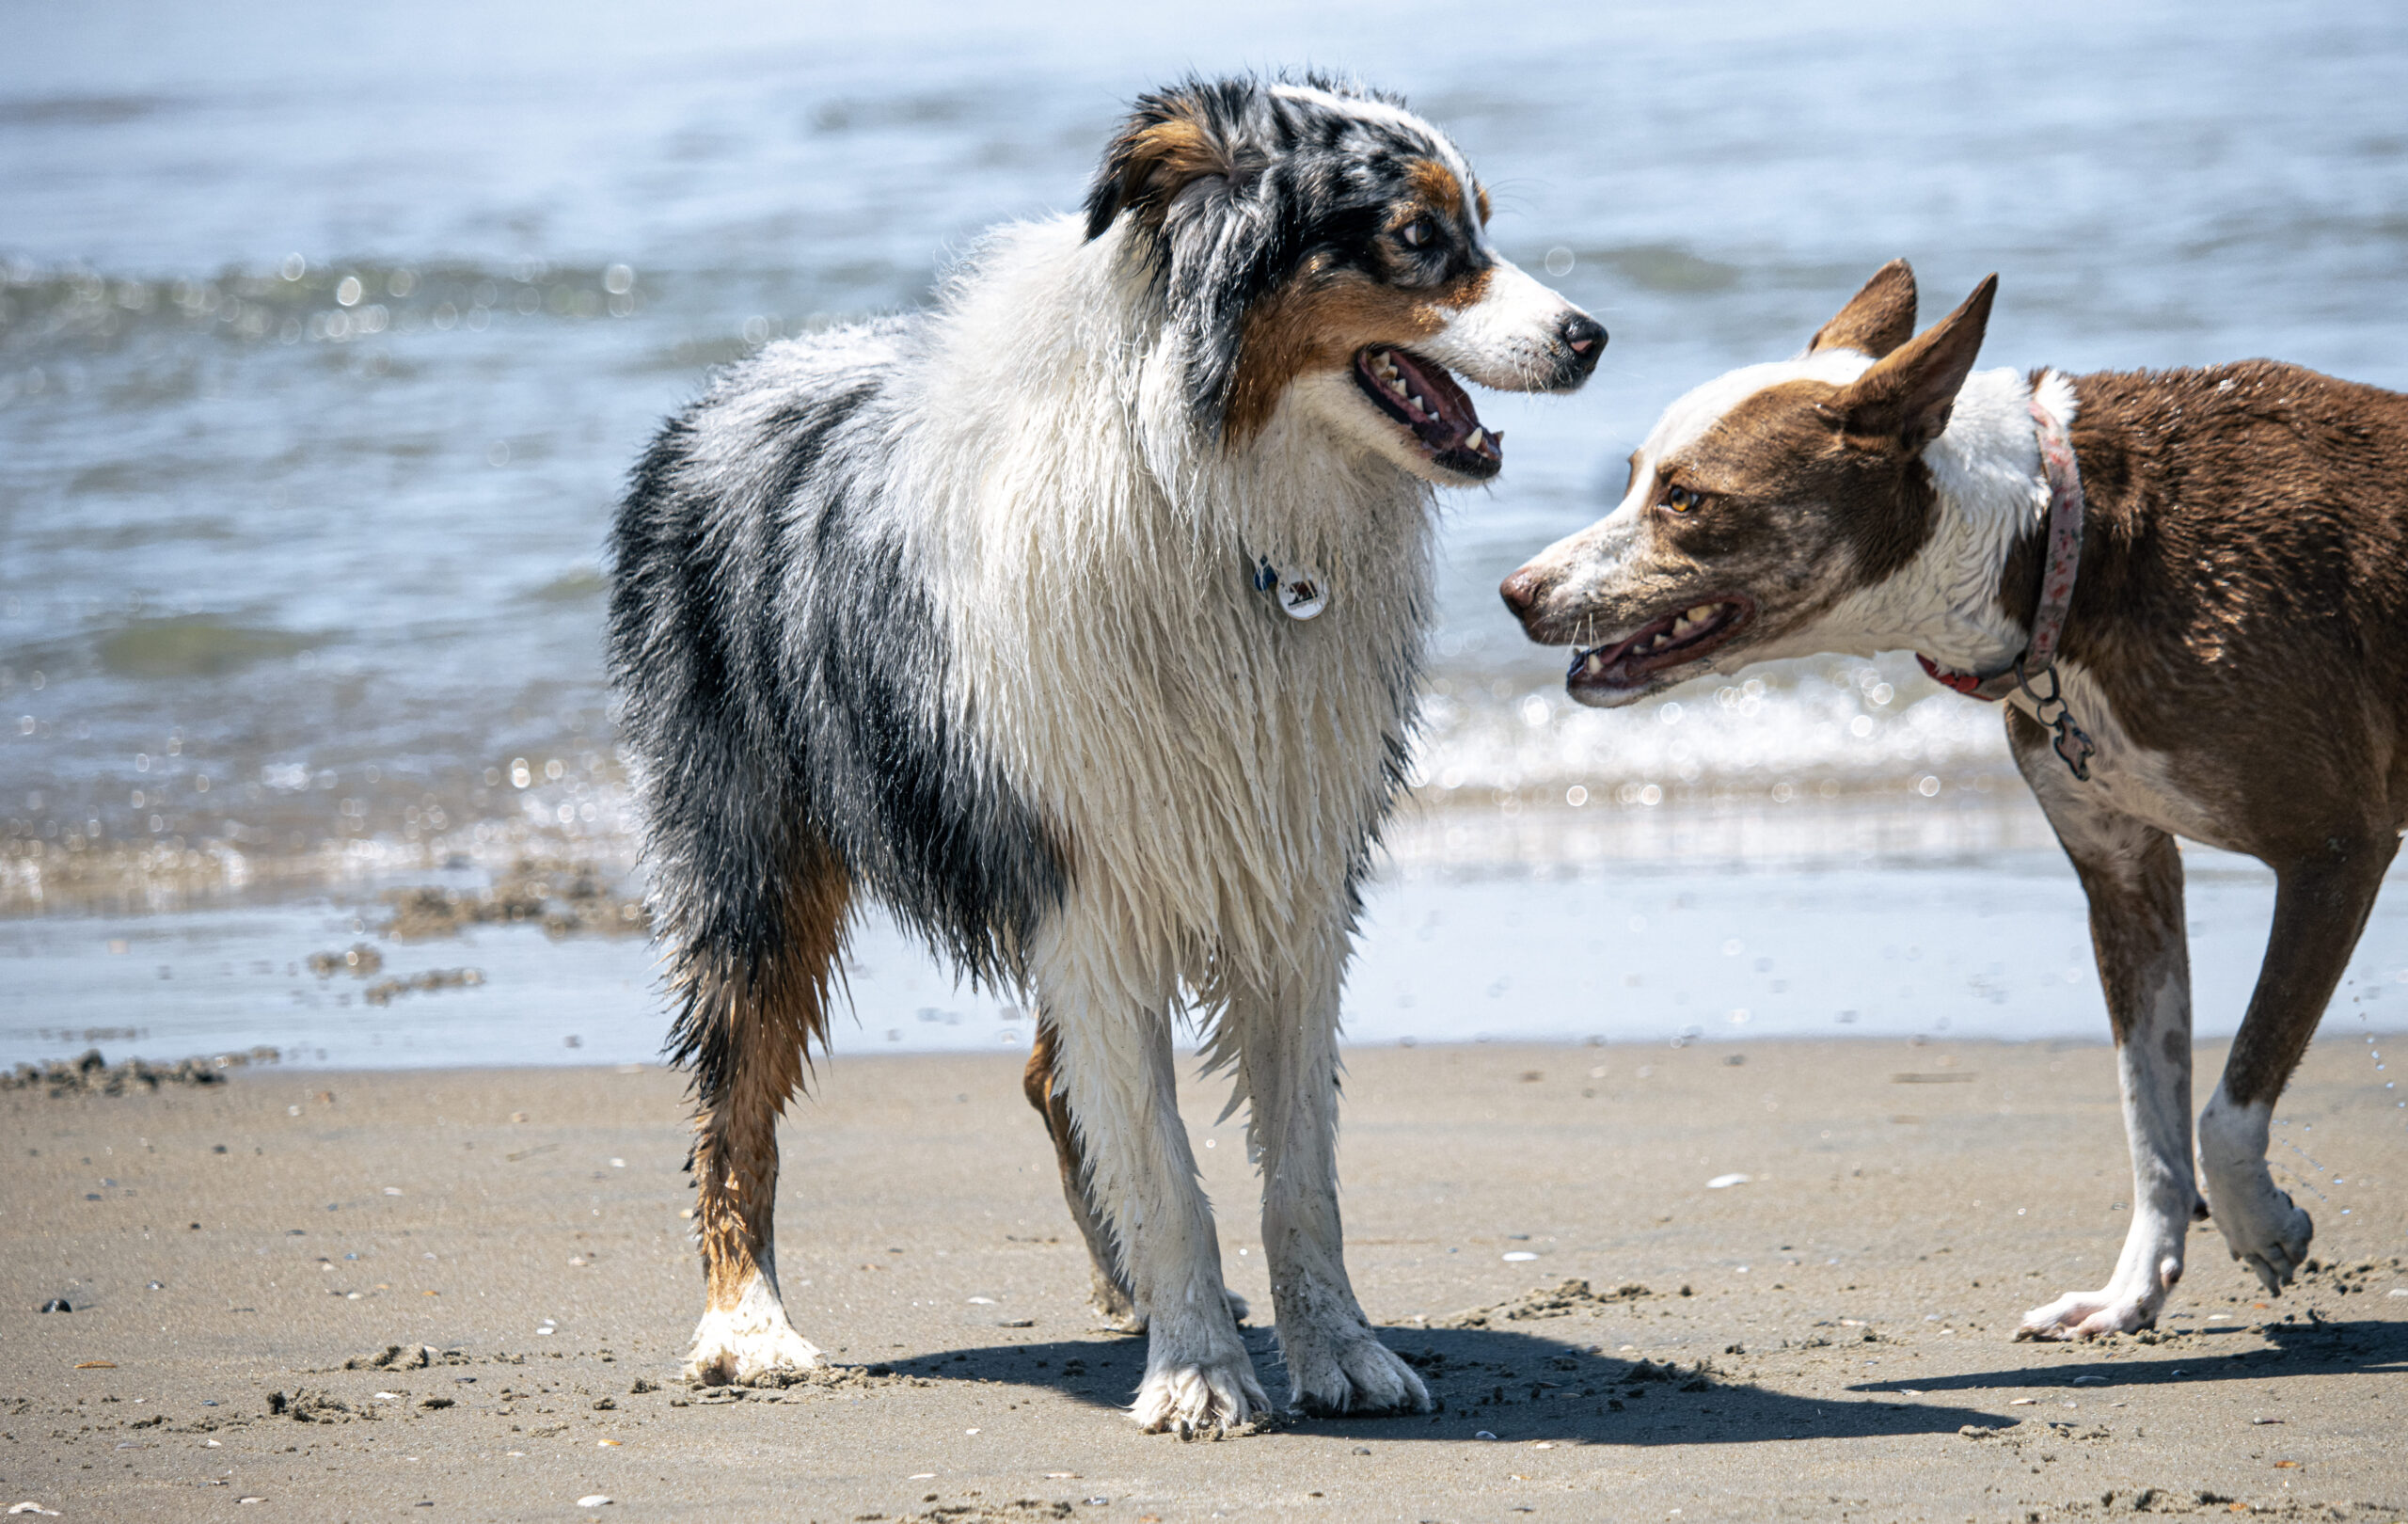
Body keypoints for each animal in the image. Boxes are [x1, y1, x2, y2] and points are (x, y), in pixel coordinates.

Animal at [611, 74, 1608, 1425]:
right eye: (1417, 236)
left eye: (1484, 222)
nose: (1589, 336)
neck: (1217, 497)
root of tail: (720, 394)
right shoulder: (1088, 886)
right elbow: (1166, 1162)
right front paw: (1199, 1378)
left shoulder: (1286, 880)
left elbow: (1300, 1171)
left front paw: (1337, 1352)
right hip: (752, 852)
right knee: (735, 1102)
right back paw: (746, 1329)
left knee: (1047, 1079)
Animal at [1493, 267, 2398, 1338]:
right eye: (1632, 473)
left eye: (1684, 497)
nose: (1514, 592)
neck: (2062, 550)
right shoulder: (2124, 878)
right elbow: (2150, 1111)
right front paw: (2130, 1292)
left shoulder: (2335, 847)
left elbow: (2226, 1102)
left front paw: (2263, 1226)